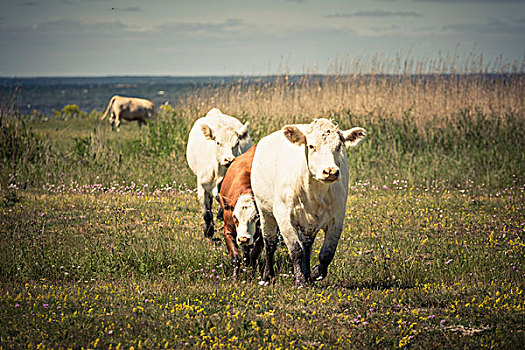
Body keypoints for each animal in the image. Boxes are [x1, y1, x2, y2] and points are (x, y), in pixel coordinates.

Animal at [187, 107, 253, 238]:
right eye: (218, 142)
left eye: (237, 143)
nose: (229, 159)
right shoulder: (202, 185)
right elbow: (206, 213)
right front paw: (208, 231)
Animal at [219, 145, 264, 278]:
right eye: (235, 217)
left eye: (256, 217)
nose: (243, 239)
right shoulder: (228, 230)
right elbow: (235, 257)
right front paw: (234, 278)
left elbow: (254, 254)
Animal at [250, 118, 364, 288]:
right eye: (311, 146)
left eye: (338, 146)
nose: (330, 171)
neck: (314, 192)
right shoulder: (283, 217)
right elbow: (296, 250)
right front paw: (299, 281)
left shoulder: (337, 219)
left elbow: (327, 253)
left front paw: (314, 273)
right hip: (265, 212)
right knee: (269, 243)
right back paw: (268, 276)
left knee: (307, 246)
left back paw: (308, 276)